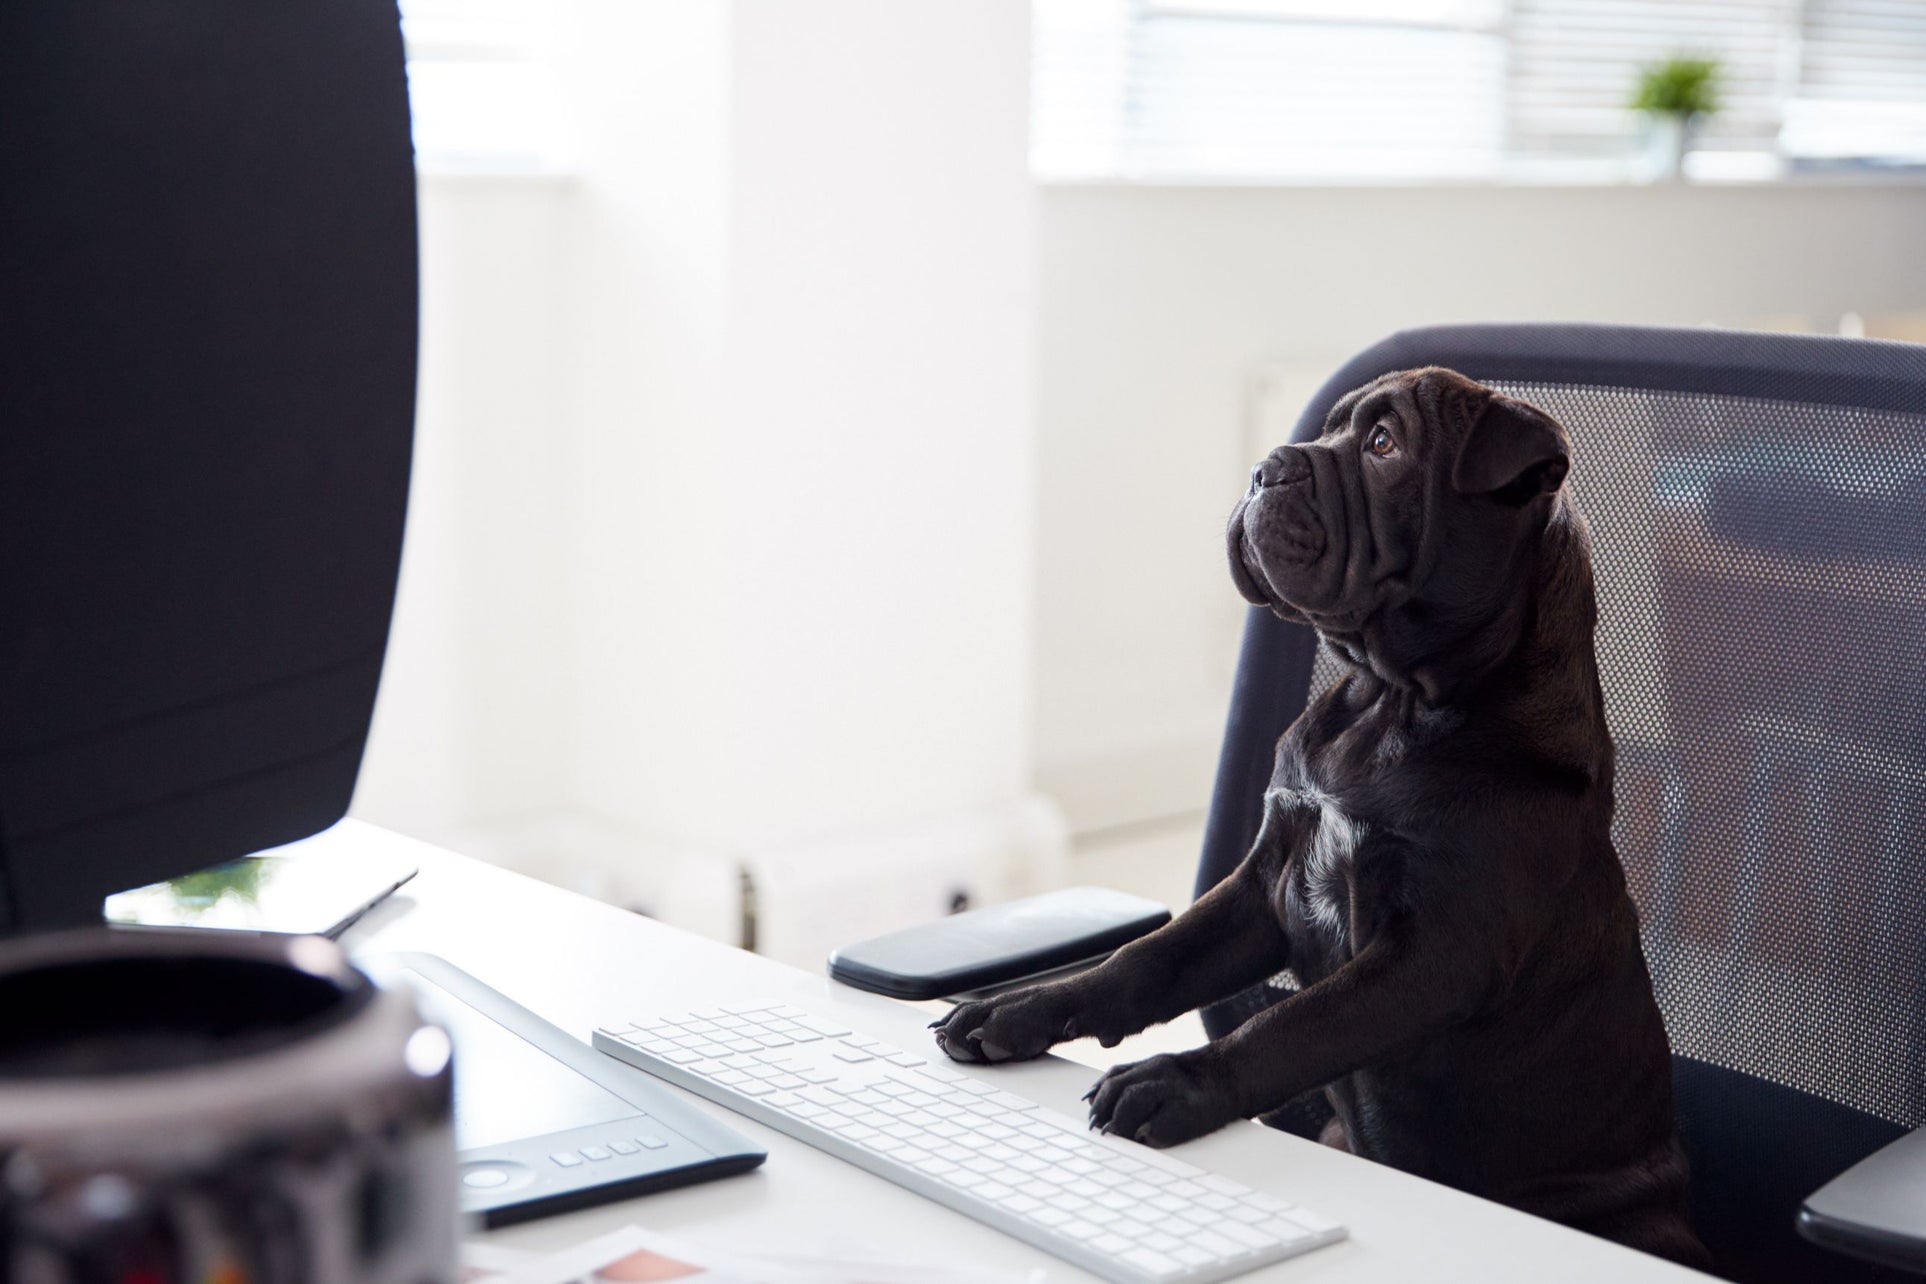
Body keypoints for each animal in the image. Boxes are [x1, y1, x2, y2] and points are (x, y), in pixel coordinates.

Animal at [939, 365, 1710, 1270]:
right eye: (1331, 432)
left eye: (1384, 445)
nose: (1267, 467)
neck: (1391, 703)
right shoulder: (1264, 886)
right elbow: (1145, 961)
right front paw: (1017, 1008)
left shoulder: (1436, 951)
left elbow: (1296, 1024)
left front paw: (1177, 1083)